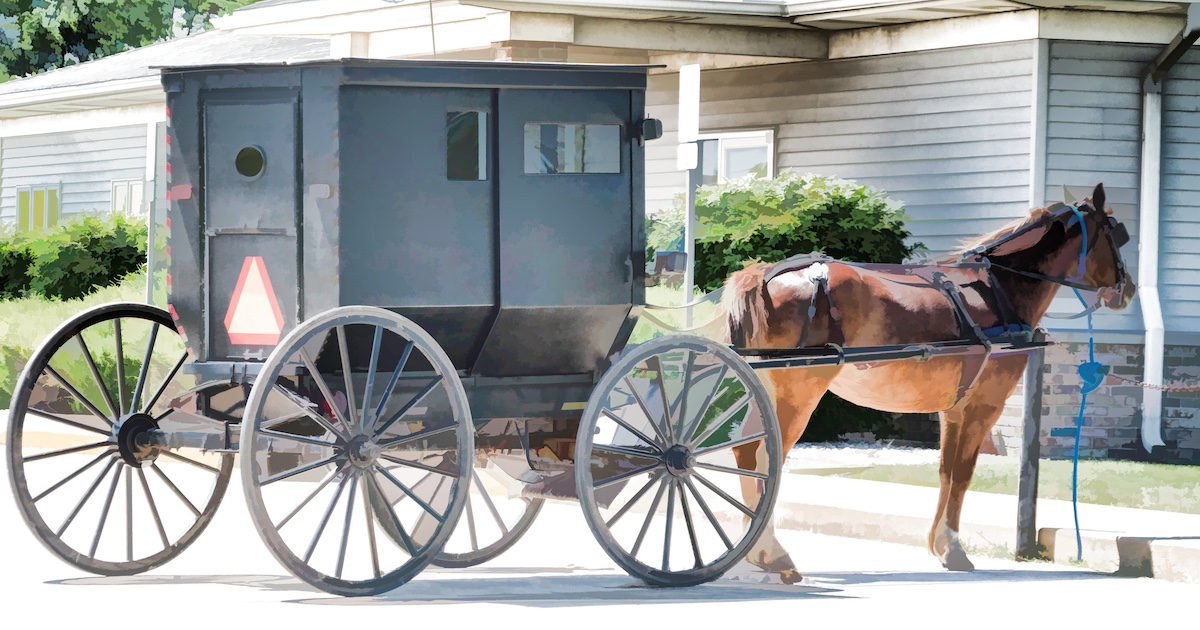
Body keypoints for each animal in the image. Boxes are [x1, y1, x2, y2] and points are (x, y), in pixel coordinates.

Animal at [720, 181, 1132, 580]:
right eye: (1116, 233)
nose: (1127, 289)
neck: (1000, 288)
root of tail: (763, 275)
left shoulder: (953, 409)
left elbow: (947, 472)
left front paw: (940, 544)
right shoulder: (984, 405)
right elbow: (963, 473)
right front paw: (954, 548)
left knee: (746, 451)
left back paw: (754, 548)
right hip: (798, 392)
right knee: (765, 456)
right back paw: (772, 552)